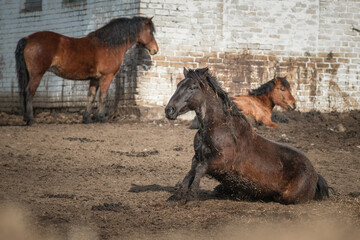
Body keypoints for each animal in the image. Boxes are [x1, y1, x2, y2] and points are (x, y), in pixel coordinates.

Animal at [15, 15, 159, 124]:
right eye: (150, 32)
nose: (155, 50)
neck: (109, 45)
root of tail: (28, 38)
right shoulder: (107, 76)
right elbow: (102, 96)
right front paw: (102, 118)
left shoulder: (95, 79)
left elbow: (91, 96)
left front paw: (87, 118)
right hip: (37, 74)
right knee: (29, 92)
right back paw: (31, 120)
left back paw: (26, 118)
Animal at [165, 67, 330, 204]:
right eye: (179, 85)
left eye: (192, 87)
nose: (169, 110)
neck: (219, 129)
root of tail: (315, 174)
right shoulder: (197, 157)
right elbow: (191, 172)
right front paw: (175, 197)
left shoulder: (221, 162)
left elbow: (200, 169)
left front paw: (191, 199)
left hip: (287, 196)